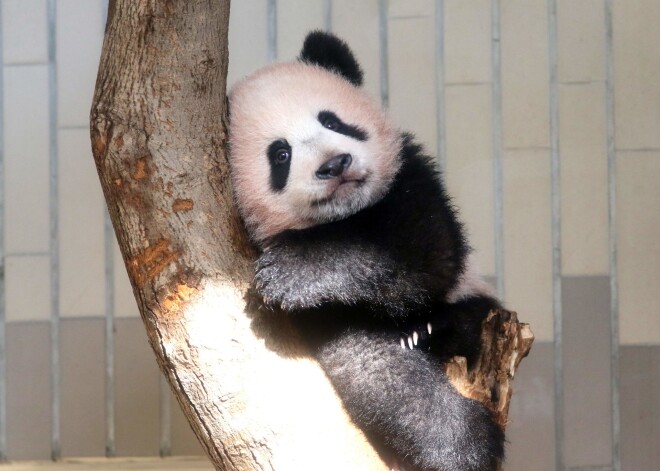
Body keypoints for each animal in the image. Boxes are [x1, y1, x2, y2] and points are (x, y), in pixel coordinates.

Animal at [228, 31, 505, 471]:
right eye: (281, 154)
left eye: (332, 121)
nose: (335, 164)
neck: (347, 215)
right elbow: (379, 372)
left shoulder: (412, 179)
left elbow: (425, 251)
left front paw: (292, 270)